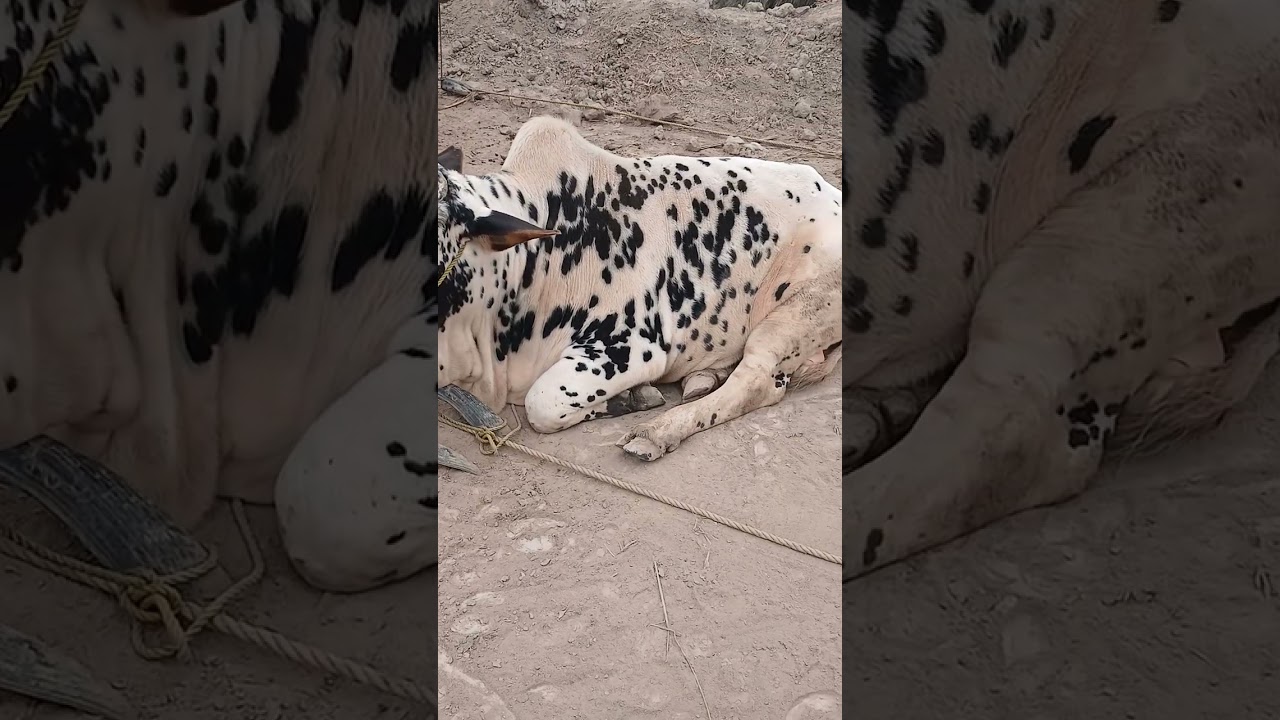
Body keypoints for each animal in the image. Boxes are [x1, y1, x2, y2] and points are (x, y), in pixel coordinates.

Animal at [437, 116, 842, 462]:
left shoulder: (632, 346)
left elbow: (543, 402)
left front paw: (633, 398)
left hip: (794, 315)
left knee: (758, 381)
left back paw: (656, 432)